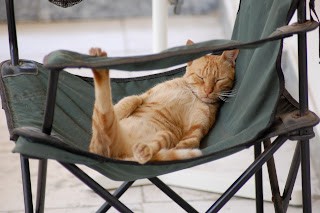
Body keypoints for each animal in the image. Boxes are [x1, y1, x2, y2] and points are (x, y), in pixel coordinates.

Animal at [89, 40, 239, 163]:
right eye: (200, 77)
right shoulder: (146, 95)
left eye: (219, 80)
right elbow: (131, 100)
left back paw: (144, 151)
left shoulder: (196, 130)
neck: (193, 95)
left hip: (166, 135)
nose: (208, 90)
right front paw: (119, 112)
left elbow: (187, 144)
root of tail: (118, 155)